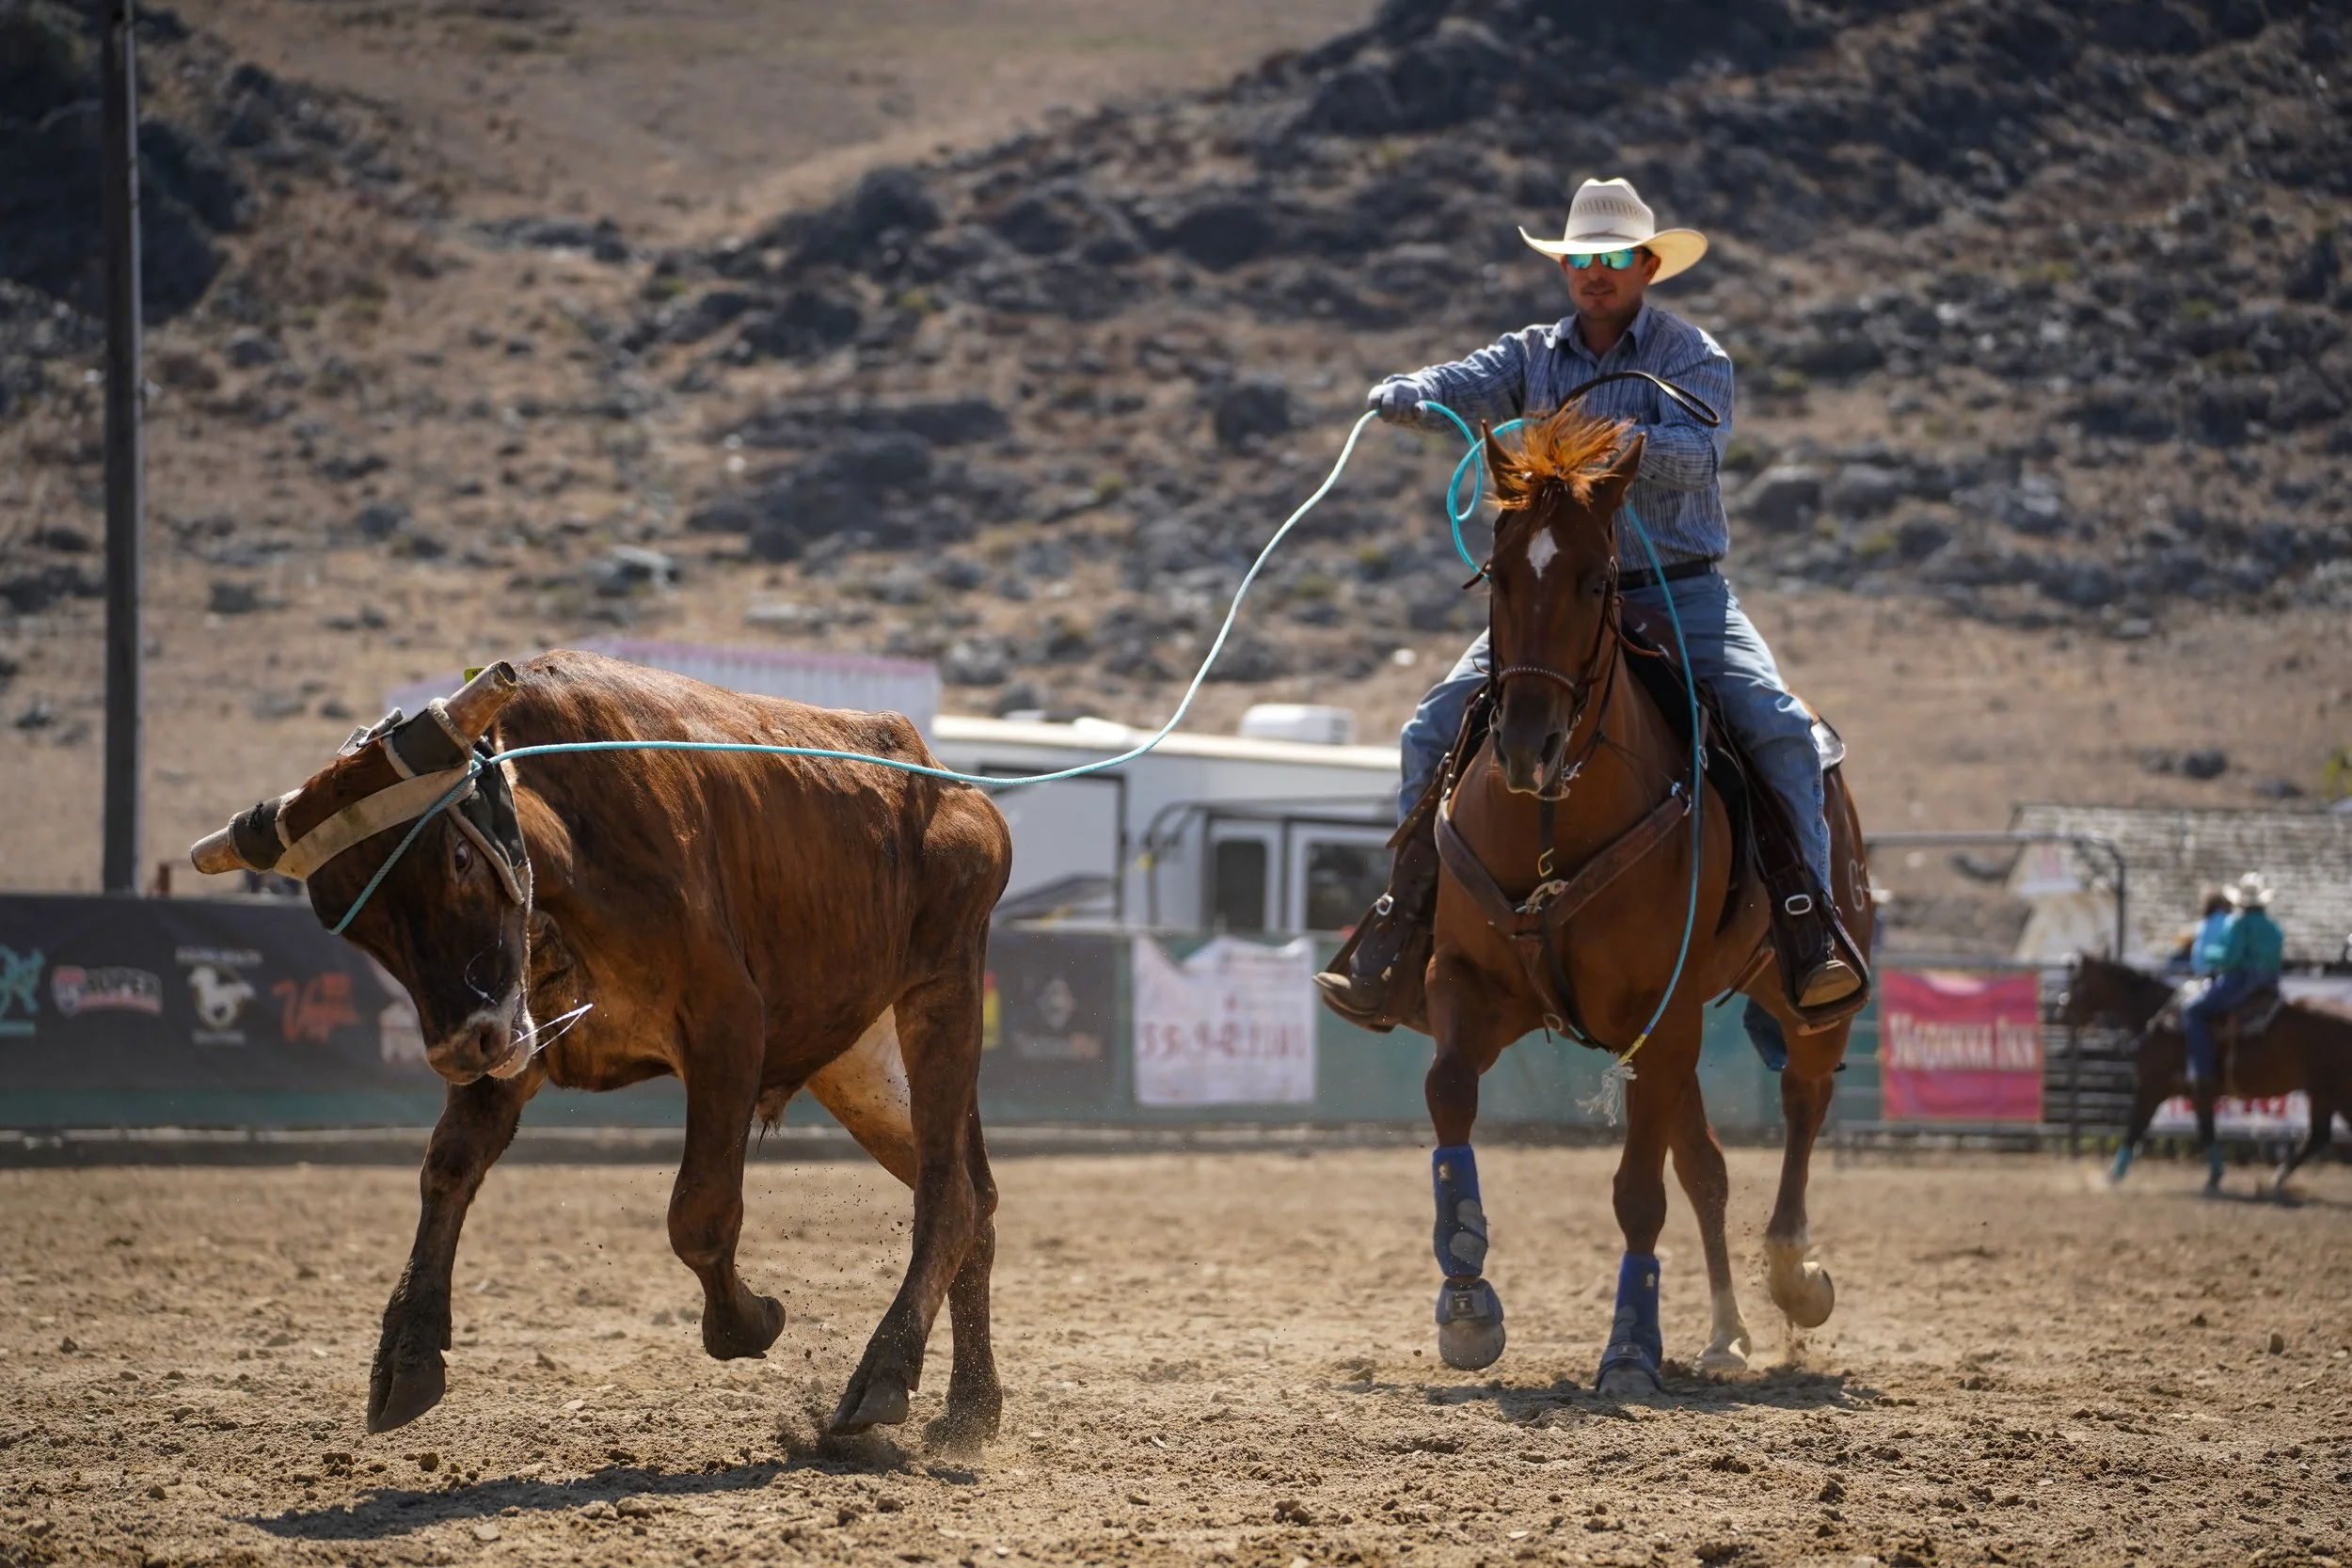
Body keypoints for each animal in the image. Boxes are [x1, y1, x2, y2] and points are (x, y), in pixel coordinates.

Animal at [190, 653, 1013, 1442]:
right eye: (350, 921)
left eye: (457, 858)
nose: (460, 1048)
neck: (574, 843)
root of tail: (953, 789)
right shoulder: (514, 1030)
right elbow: (447, 1170)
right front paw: (409, 1350)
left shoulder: (727, 1024)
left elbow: (699, 1211)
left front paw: (748, 1320)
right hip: (860, 1064)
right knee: (978, 1201)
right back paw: (971, 1404)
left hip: (942, 991)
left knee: (949, 1194)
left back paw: (885, 1374)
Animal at [1421, 407, 1875, 1390]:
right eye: (1498, 573)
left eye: (1596, 579)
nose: (1528, 745)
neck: (1553, 821)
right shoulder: (1470, 983)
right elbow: (1448, 1094)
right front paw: (1468, 1295)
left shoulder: (1657, 1015)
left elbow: (1636, 1190)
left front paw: (1630, 1345)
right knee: (1706, 1164)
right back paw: (1726, 1334)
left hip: (1801, 1000)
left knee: (1803, 1100)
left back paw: (1794, 1274)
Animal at [2055, 954, 2351, 1194]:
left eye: (2077, 980)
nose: (2061, 1011)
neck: (2157, 1016)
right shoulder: (2198, 1092)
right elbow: (2207, 1129)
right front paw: (2214, 1177)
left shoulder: (2152, 1086)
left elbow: (2135, 1126)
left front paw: (2111, 1177)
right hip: (2322, 1092)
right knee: (2318, 1136)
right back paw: (2276, 1180)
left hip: (2335, 1091)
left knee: (2322, 1135)